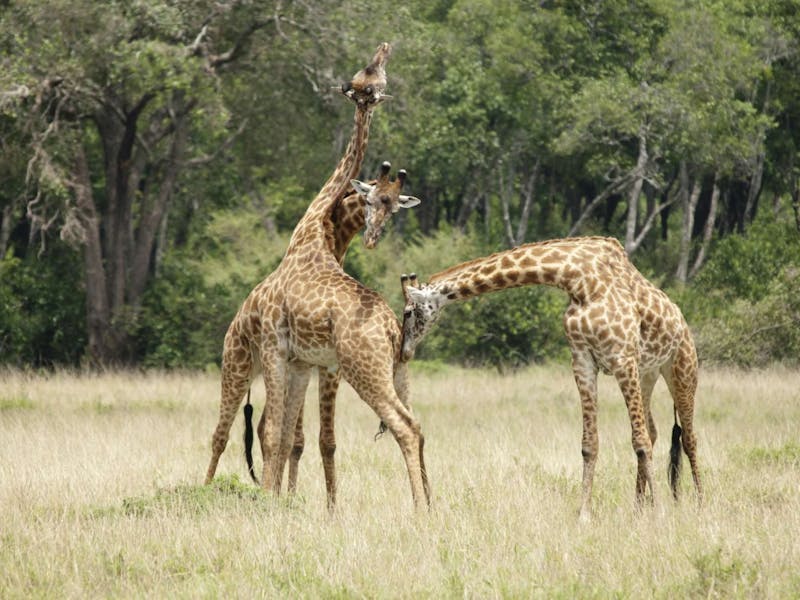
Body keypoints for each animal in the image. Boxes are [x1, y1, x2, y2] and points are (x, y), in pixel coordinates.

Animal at [204, 43, 431, 509]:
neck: (313, 231)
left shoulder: (284, 351)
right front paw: (287, 502)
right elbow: (288, 435)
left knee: (404, 426)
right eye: (368, 75)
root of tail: (390, 326)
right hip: (282, 363)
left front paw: (275, 502)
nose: (352, 88)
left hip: (339, 367)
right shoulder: (301, 361)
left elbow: (280, 435)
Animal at [399, 236, 702, 521]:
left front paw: (659, 511)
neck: (577, 280)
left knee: (688, 437)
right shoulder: (582, 360)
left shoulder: (622, 357)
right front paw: (584, 514)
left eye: (408, 311)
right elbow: (590, 444)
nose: (404, 351)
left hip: (681, 368)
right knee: (653, 430)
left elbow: (639, 441)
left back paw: (701, 500)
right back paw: (638, 507)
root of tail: (683, 322)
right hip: (647, 374)